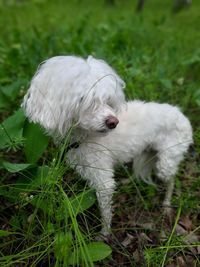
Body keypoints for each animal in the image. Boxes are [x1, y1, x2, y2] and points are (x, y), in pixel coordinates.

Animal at [21, 56, 192, 237]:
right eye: (83, 100)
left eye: (108, 100)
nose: (113, 122)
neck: (84, 137)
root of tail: (182, 115)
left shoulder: (103, 181)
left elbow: (105, 211)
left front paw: (104, 233)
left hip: (167, 161)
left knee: (171, 180)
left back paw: (166, 204)